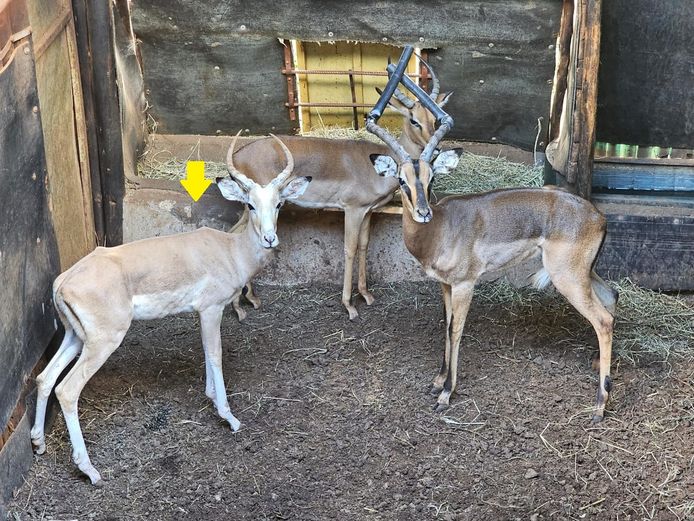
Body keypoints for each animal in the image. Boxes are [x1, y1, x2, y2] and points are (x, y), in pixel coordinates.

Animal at [30, 134, 311, 485]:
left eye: (278, 204)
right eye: (250, 204)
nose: (270, 239)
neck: (230, 251)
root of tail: (63, 282)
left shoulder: (201, 313)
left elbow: (205, 351)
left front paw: (211, 396)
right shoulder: (211, 309)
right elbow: (215, 354)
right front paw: (229, 417)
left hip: (75, 337)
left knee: (44, 377)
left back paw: (38, 443)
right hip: (102, 343)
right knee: (67, 390)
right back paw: (89, 470)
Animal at [231, 61, 452, 320]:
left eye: (434, 120)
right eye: (413, 119)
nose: (436, 148)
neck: (376, 163)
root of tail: (237, 155)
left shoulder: (368, 211)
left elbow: (364, 246)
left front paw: (366, 295)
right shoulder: (352, 210)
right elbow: (349, 249)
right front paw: (349, 305)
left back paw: (249, 299)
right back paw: (242, 303)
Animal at [366, 108, 617, 422]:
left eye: (431, 177)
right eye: (401, 180)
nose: (423, 213)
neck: (440, 229)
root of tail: (599, 217)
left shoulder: (465, 284)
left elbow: (455, 330)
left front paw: (446, 394)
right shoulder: (445, 286)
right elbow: (445, 325)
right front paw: (437, 381)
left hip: (568, 278)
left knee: (603, 320)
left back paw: (599, 406)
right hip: (584, 274)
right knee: (612, 298)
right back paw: (598, 367)